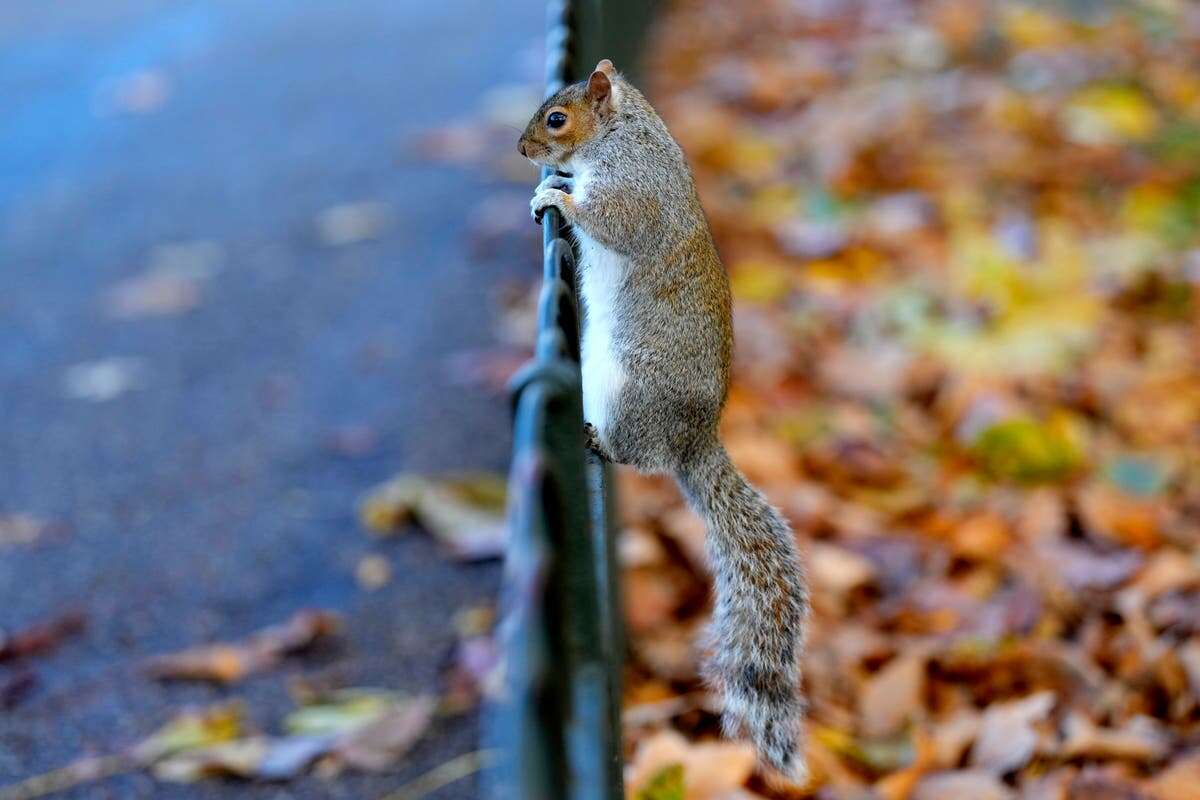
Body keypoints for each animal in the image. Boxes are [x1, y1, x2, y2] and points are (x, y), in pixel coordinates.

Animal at [520, 59, 811, 777]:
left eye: (557, 119)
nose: (523, 150)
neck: (624, 132)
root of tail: (693, 439)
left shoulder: (636, 188)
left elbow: (614, 219)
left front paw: (559, 200)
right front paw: (552, 184)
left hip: (632, 390)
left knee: (638, 455)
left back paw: (599, 439)